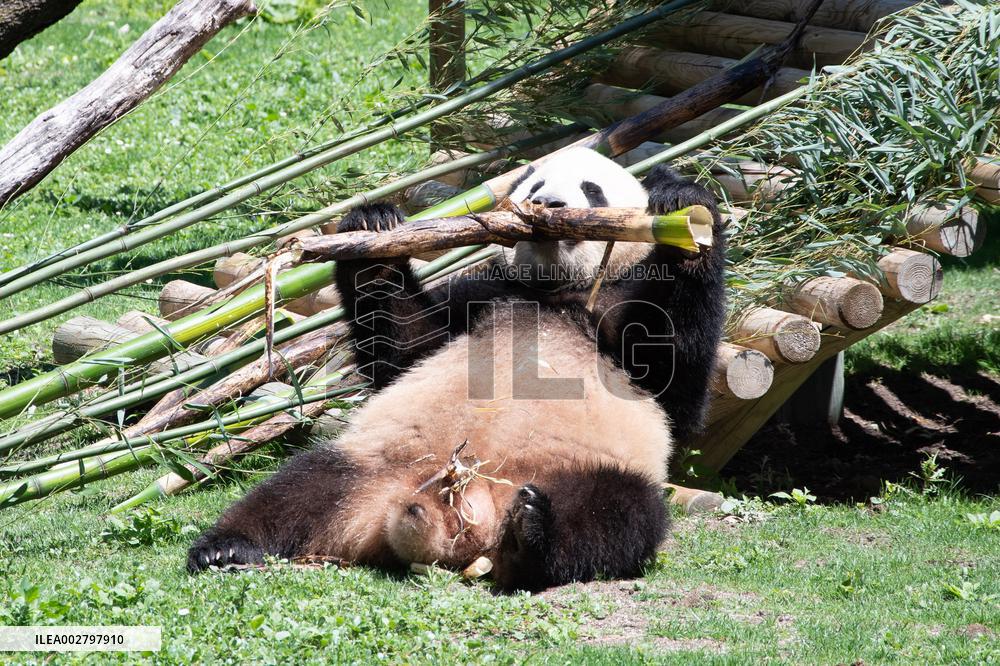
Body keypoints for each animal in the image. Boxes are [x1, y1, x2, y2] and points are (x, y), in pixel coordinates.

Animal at [187, 147, 726, 591]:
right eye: (534, 185)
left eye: (592, 191)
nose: (549, 205)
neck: (556, 292)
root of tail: (460, 522)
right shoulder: (482, 295)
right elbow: (406, 349)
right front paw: (375, 228)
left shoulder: (621, 315)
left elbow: (676, 383)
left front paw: (683, 210)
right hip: (376, 463)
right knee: (301, 488)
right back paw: (227, 548)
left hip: (585, 469)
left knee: (619, 513)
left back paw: (533, 534)